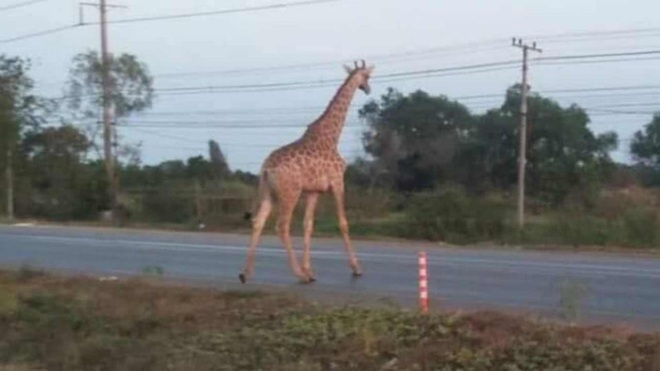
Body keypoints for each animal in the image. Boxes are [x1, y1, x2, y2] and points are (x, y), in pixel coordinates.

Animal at [238, 61, 374, 284]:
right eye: (367, 76)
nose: (368, 89)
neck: (332, 137)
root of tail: (266, 168)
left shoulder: (313, 191)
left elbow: (308, 226)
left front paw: (309, 270)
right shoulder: (338, 182)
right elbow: (343, 223)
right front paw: (356, 268)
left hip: (268, 193)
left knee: (258, 221)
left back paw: (245, 273)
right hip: (290, 193)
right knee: (282, 226)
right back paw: (298, 274)